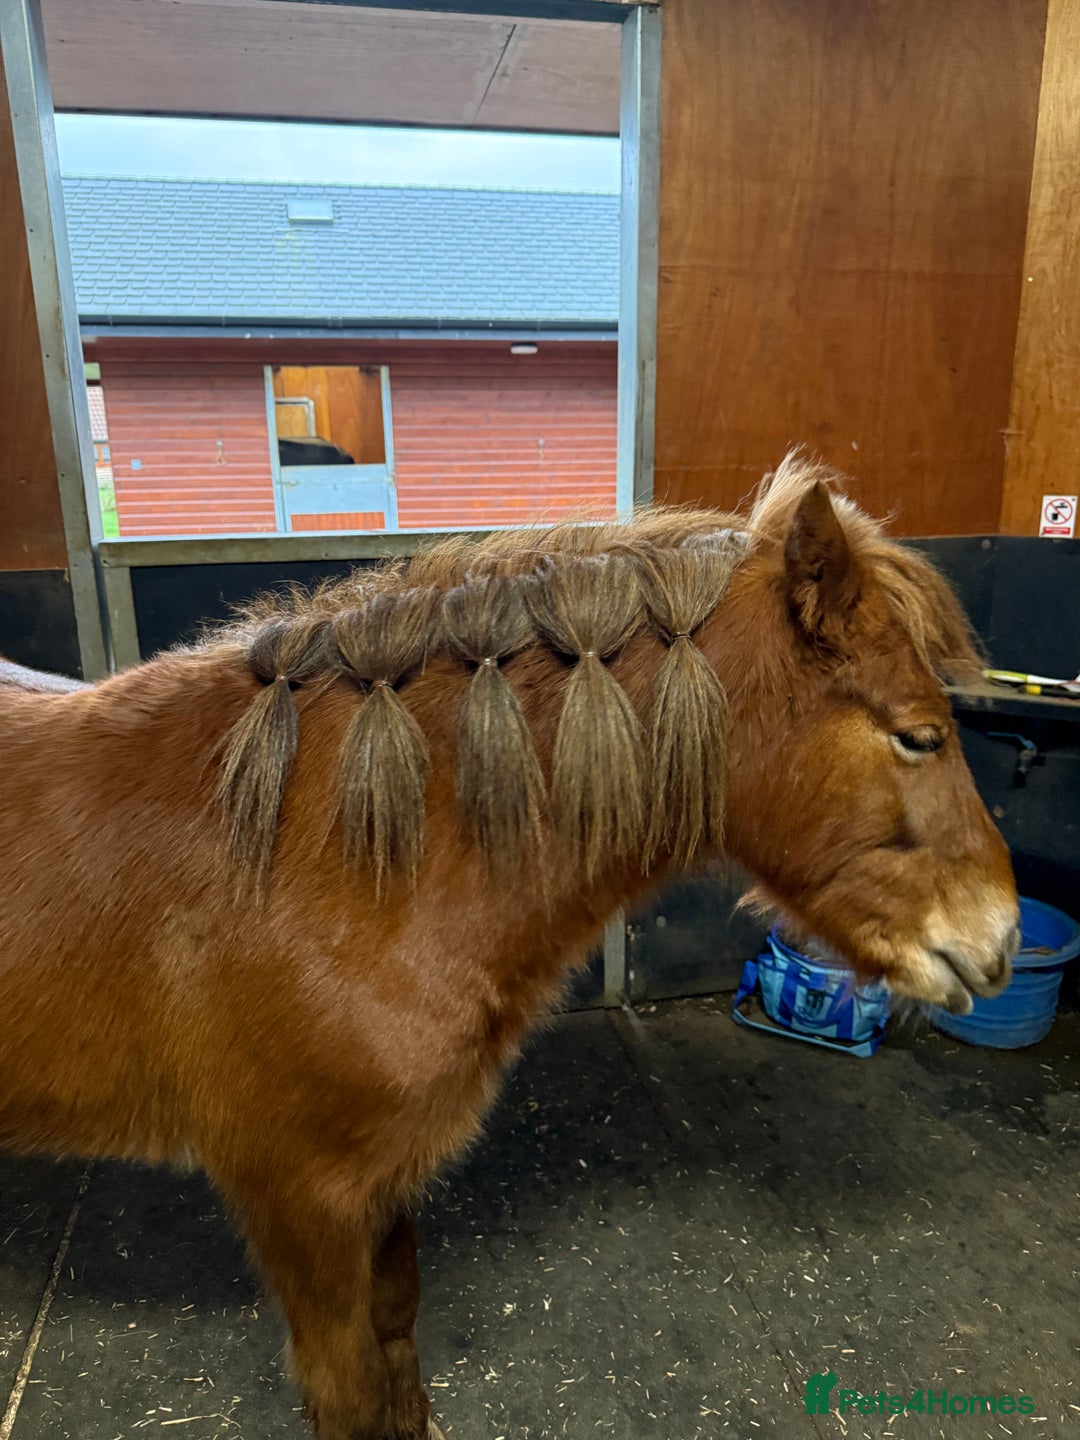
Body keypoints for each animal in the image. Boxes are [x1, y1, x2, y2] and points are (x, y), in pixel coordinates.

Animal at [0, 457, 1018, 1440]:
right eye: (919, 737)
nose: (1000, 937)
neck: (324, 850)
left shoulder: (380, 1188)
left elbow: (398, 1341)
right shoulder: (301, 1202)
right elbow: (351, 1394)